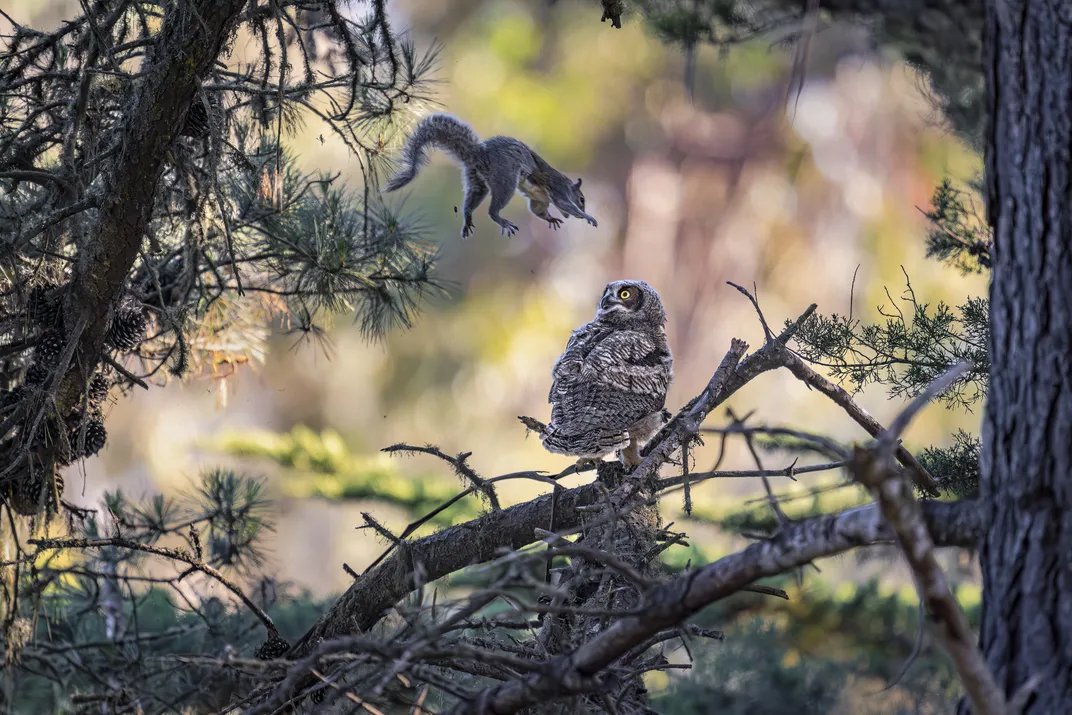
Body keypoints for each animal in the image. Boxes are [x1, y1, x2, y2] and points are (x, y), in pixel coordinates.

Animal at [383, 113, 598, 238]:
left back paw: (467, 219)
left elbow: (538, 211)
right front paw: (588, 217)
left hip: (476, 182)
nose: (581, 208)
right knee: (492, 210)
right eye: (581, 199)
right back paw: (501, 220)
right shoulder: (558, 189)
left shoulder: (539, 201)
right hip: (505, 181)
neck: (566, 184)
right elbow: (563, 204)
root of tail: (479, 155)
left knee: (471, 201)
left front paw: (551, 219)